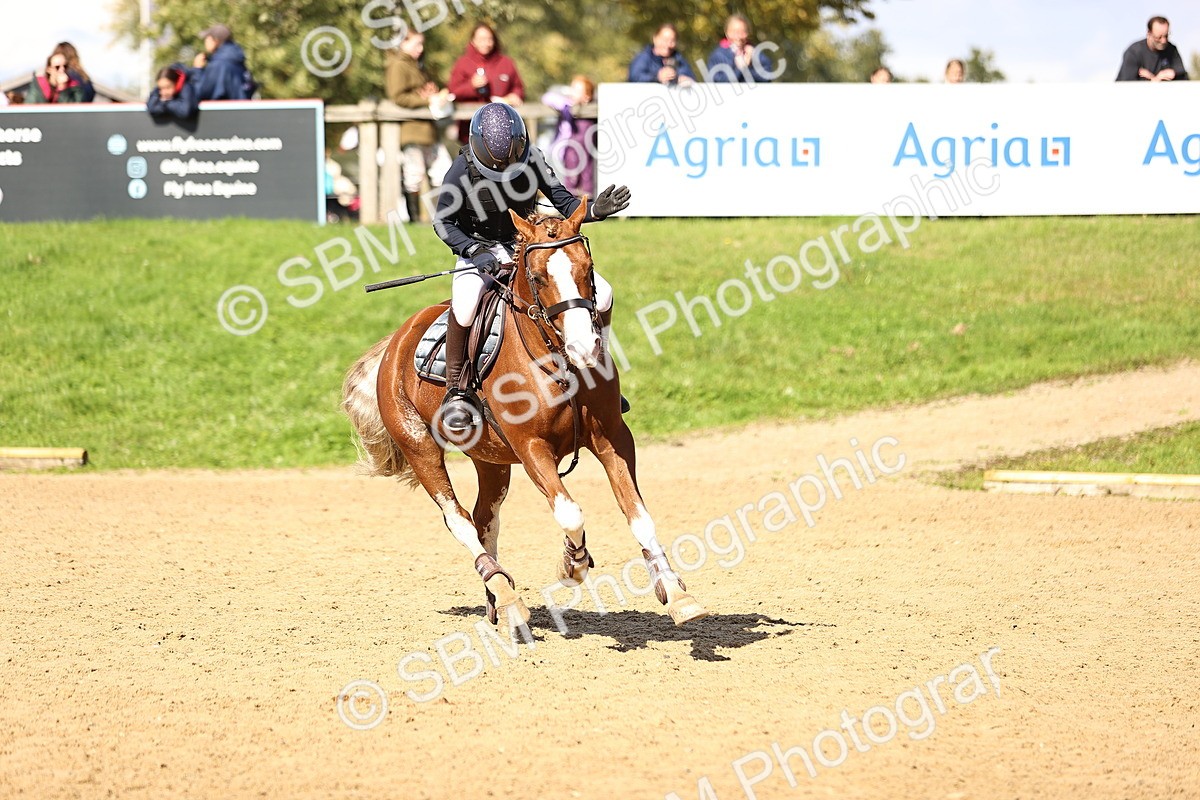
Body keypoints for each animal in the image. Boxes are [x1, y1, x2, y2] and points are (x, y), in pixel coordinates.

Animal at [341, 200, 708, 630]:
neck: (559, 362)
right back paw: (508, 597)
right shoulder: (532, 447)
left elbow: (639, 515)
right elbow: (569, 513)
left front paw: (677, 593)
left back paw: (499, 601)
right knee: (459, 519)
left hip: (491, 460)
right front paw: (572, 564)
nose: (585, 348)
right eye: (537, 276)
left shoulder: (613, 438)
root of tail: (395, 341)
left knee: (484, 519)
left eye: (588, 268)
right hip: (420, 449)